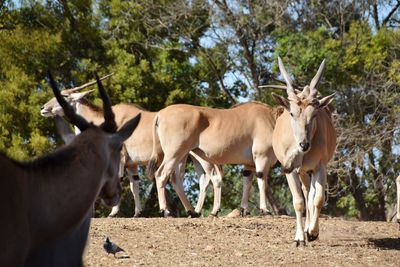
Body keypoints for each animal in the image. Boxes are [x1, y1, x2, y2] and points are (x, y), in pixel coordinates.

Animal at [41, 80, 225, 218]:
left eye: (64, 96)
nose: (43, 108)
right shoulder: (132, 165)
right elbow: (133, 185)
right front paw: (137, 212)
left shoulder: (120, 159)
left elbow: (119, 181)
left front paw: (113, 213)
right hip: (185, 156)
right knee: (187, 179)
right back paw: (193, 211)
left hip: (197, 156)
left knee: (211, 177)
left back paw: (211, 211)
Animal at [147, 101, 282, 217]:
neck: (272, 119)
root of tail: (160, 114)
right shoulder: (261, 157)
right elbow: (261, 180)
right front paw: (265, 210)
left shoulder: (249, 164)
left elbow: (247, 182)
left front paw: (244, 210)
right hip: (175, 154)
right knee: (161, 174)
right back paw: (166, 211)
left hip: (182, 156)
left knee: (176, 179)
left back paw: (192, 212)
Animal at [270, 58, 336, 247]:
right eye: (292, 113)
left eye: (314, 115)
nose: (304, 145)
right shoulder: (290, 169)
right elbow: (298, 202)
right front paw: (299, 237)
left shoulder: (320, 167)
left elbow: (318, 198)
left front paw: (312, 232)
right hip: (302, 172)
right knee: (306, 193)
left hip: (309, 171)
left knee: (311, 194)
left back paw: (310, 229)